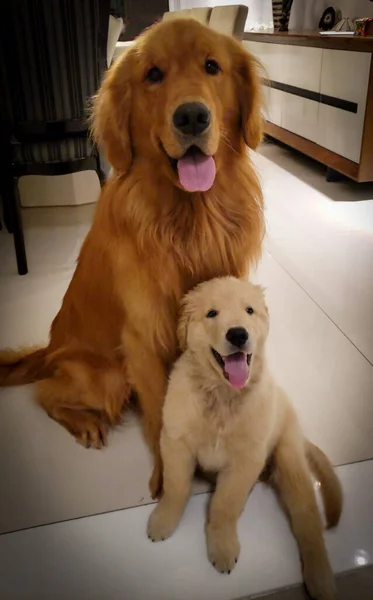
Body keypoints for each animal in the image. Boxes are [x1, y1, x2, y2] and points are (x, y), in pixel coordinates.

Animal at [147, 276, 342, 600]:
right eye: (212, 313)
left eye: (249, 310)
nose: (238, 334)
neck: (222, 396)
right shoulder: (176, 440)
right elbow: (176, 486)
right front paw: (164, 519)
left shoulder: (245, 461)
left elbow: (224, 505)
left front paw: (223, 547)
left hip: (290, 459)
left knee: (308, 523)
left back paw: (321, 579)